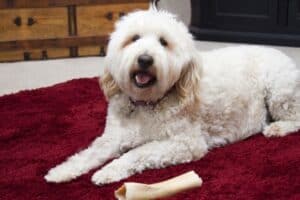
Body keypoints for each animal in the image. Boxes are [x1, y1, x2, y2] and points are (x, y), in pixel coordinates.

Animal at [45, 9, 300, 184]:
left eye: (163, 42)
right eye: (134, 38)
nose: (145, 59)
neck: (146, 103)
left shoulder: (185, 143)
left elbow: (138, 153)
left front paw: (109, 171)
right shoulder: (114, 136)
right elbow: (90, 153)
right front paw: (61, 171)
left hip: (280, 91)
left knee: (296, 117)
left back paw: (277, 128)